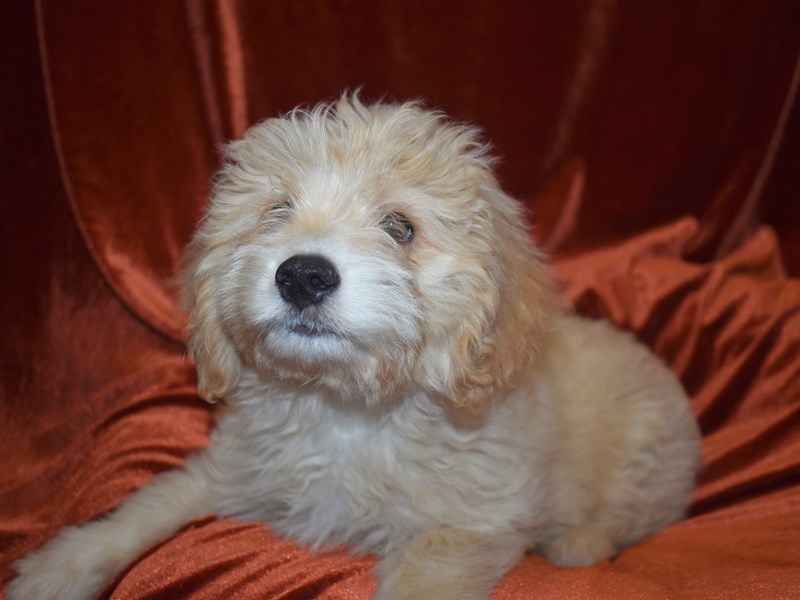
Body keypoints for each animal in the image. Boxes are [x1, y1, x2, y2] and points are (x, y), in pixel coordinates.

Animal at [10, 95, 700, 600]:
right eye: (277, 211)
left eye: (401, 227)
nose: (302, 275)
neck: (344, 409)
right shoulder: (231, 468)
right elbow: (150, 503)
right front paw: (58, 568)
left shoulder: (465, 528)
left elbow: (423, 577)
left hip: (642, 460)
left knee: (634, 518)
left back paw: (579, 542)